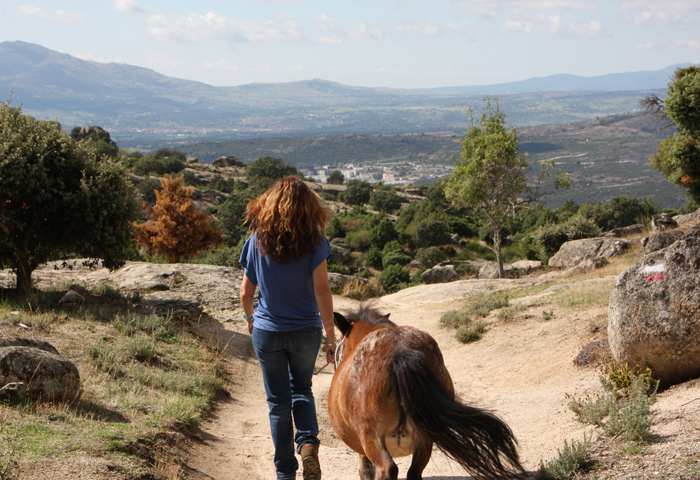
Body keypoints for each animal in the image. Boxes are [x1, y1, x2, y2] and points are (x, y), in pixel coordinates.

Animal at [326, 308, 520, 480]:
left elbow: (366, 472)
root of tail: (399, 349)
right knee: (414, 473)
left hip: (371, 438)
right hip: (425, 438)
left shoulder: (363, 451)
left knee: (389, 470)